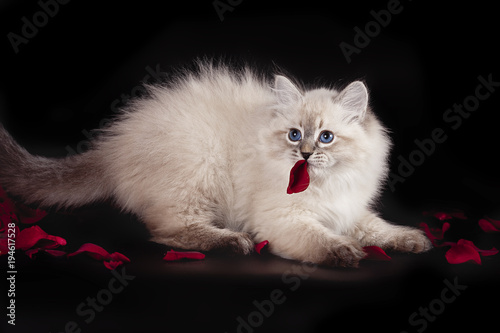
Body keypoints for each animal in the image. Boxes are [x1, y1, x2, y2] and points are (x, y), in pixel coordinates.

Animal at [0, 61, 430, 264]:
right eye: (294, 135)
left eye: (326, 137)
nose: (305, 154)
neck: (326, 185)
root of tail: (114, 145)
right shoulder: (284, 220)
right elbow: (321, 239)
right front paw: (344, 252)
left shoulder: (349, 210)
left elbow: (378, 229)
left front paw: (412, 240)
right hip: (198, 168)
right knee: (168, 230)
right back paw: (231, 242)